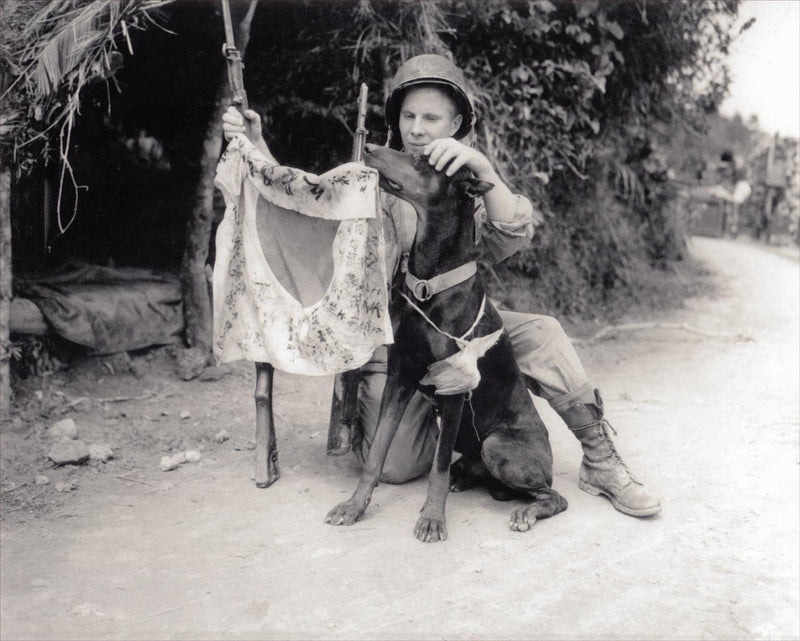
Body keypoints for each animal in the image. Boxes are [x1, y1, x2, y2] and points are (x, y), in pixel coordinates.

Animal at [324, 144, 568, 540]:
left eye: (423, 160)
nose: (370, 147)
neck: (431, 283)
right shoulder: (400, 376)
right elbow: (377, 454)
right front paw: (354, 506)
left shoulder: (453, 387)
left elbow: (437, 467)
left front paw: (433, 519)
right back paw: (466, 478)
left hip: (498, 445)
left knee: (553, 494)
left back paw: (526, 512)